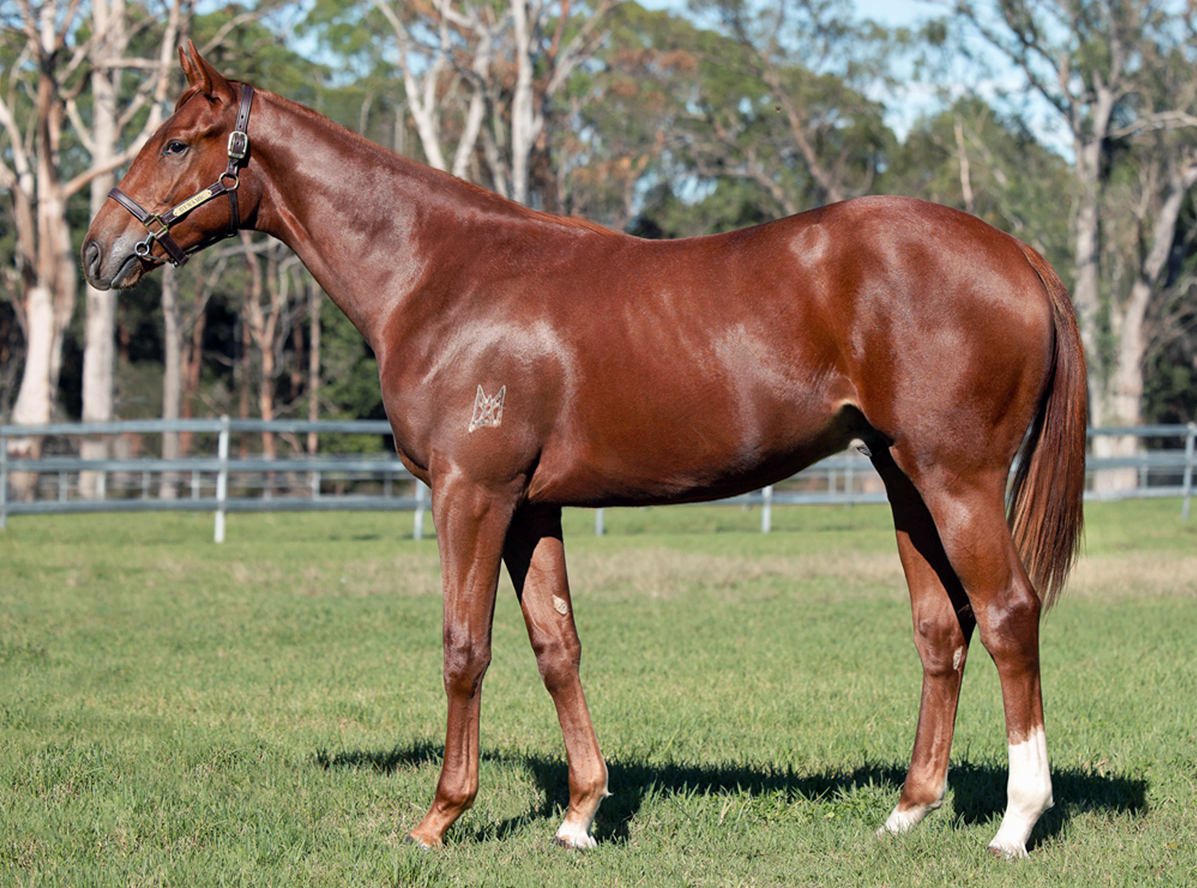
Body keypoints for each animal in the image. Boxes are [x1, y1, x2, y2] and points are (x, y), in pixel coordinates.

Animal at [84, 45, 1086, 856]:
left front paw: (439, 818)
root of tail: (1015, 252)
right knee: (941, 627)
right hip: (901, 477)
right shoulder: (531, 506)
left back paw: (1015, 822)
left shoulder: (472, 495)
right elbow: (555, 644)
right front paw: (578, 814)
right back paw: (907, 811)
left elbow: (464, 647)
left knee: (1008, 615)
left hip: (957, 480)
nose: (100, 251)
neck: (439, 276)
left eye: (176, 143)